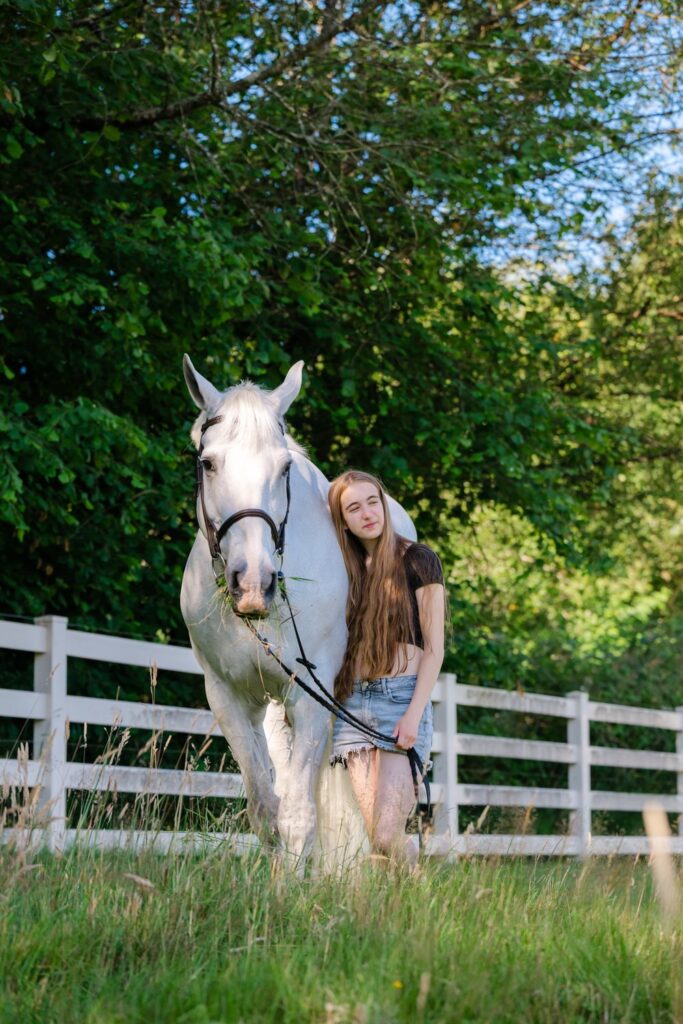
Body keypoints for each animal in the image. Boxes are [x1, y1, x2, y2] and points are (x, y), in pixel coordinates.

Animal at [180, 357, 416, 866]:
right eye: (208, 464)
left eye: (284, 466)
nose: (254, 584)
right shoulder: (228, 697)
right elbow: (266, 810)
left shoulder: (310, 699)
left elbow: (297, 816)